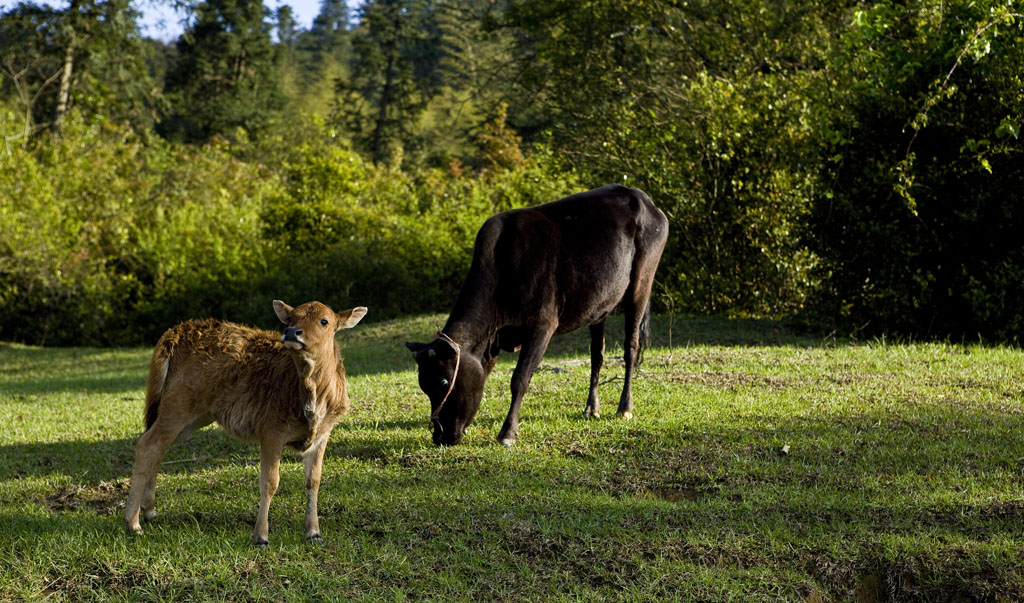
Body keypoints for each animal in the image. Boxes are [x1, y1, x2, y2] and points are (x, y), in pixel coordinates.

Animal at [124, 298, 368, 544]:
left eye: (324, 321)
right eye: (291, 318)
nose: (291, 332)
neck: (312, 398)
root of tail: (176, 332)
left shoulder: (322, 434)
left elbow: (313, 481)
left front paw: (313, 532)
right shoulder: (271, 429)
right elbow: (269, 482)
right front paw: (261, 536)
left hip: (192, 417)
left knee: (158, 448)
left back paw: (149, 510)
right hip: (177, 406)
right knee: (147, 445)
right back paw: (133, 522)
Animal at [403, 185, 667, 444]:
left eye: (444, 381)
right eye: (424, 386)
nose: (440, 435)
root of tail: (642, 197)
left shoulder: (542, 325)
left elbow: (520, 379)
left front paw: (507, 433)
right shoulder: (493, 342)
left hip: (641, 283)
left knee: (630, 347)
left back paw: (625, 408)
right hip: (601, 302)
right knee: (597, 353)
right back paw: (591, 408)